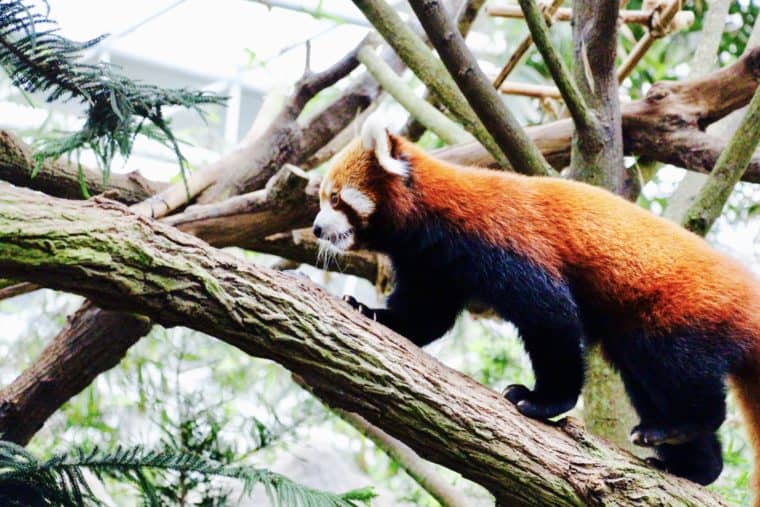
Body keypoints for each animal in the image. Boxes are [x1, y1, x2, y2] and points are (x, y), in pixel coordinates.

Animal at [312, 116, 760, 500]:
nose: (315, 228)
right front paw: (370, 311)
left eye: (334, 198)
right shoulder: (434, 264)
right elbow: (425, 316)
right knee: (647, 381)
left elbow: (551, 317)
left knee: (680, 371)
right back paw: (695, 465)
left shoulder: (504, 243)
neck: (430, 217)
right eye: (321, 199)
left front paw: (544, 401)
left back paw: (684, 425)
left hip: (677, 313)